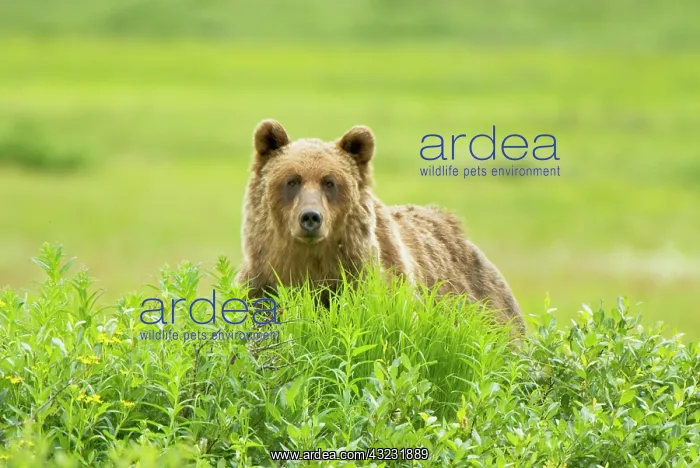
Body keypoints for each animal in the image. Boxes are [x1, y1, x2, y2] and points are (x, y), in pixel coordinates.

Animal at [235, 119, 526, 336]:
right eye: (292, 181)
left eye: (329, 182)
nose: (310, 217)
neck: (312, 268)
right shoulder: (261, 283)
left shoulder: (371, 282)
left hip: (489, 308)